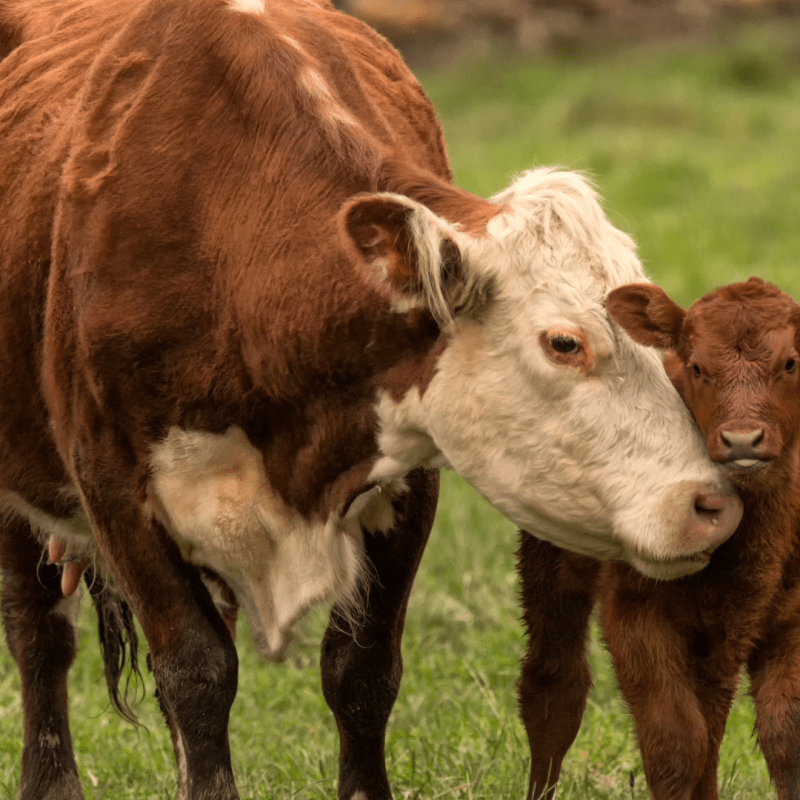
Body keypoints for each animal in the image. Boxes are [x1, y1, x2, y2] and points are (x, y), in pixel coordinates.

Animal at [0, 1, 742, 798]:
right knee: (39, 633)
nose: (712, 503)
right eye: (564, 342)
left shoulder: (407, 475)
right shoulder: (113, 486)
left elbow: (359, 670)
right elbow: (196, 673)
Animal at [518, 277, 800, 800]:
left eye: (791, 362)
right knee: (554, 689)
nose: (743, 440)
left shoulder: (790, 621)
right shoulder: (635, 611)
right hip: (549, 559)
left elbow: (784, 737)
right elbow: (674, 743)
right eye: (697, 367)